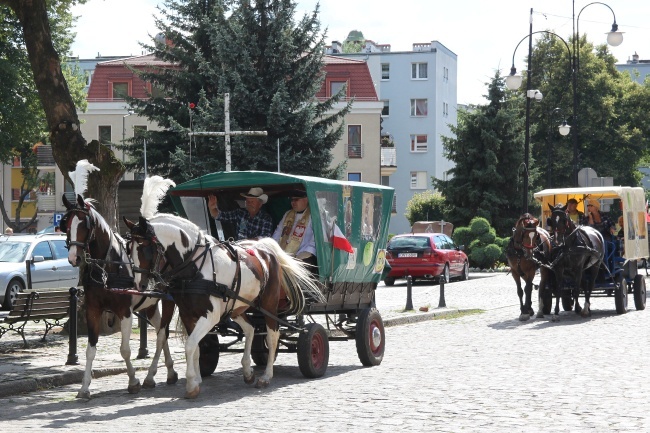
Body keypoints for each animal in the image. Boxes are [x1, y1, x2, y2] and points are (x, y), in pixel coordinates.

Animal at [124, 176, 322, 398]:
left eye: (145, 248)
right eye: (128, 248)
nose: (139, 284)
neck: (195, 266)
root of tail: (266, 247)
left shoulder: (210, 315)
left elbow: (190, 344)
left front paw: (191, 384)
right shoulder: (187, 313)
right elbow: (195, 345)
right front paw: (197, 378)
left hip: (269, 306)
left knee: (273, 336)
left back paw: (266, 376)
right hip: (239, 306)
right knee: (251, 329)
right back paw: (248, 371)